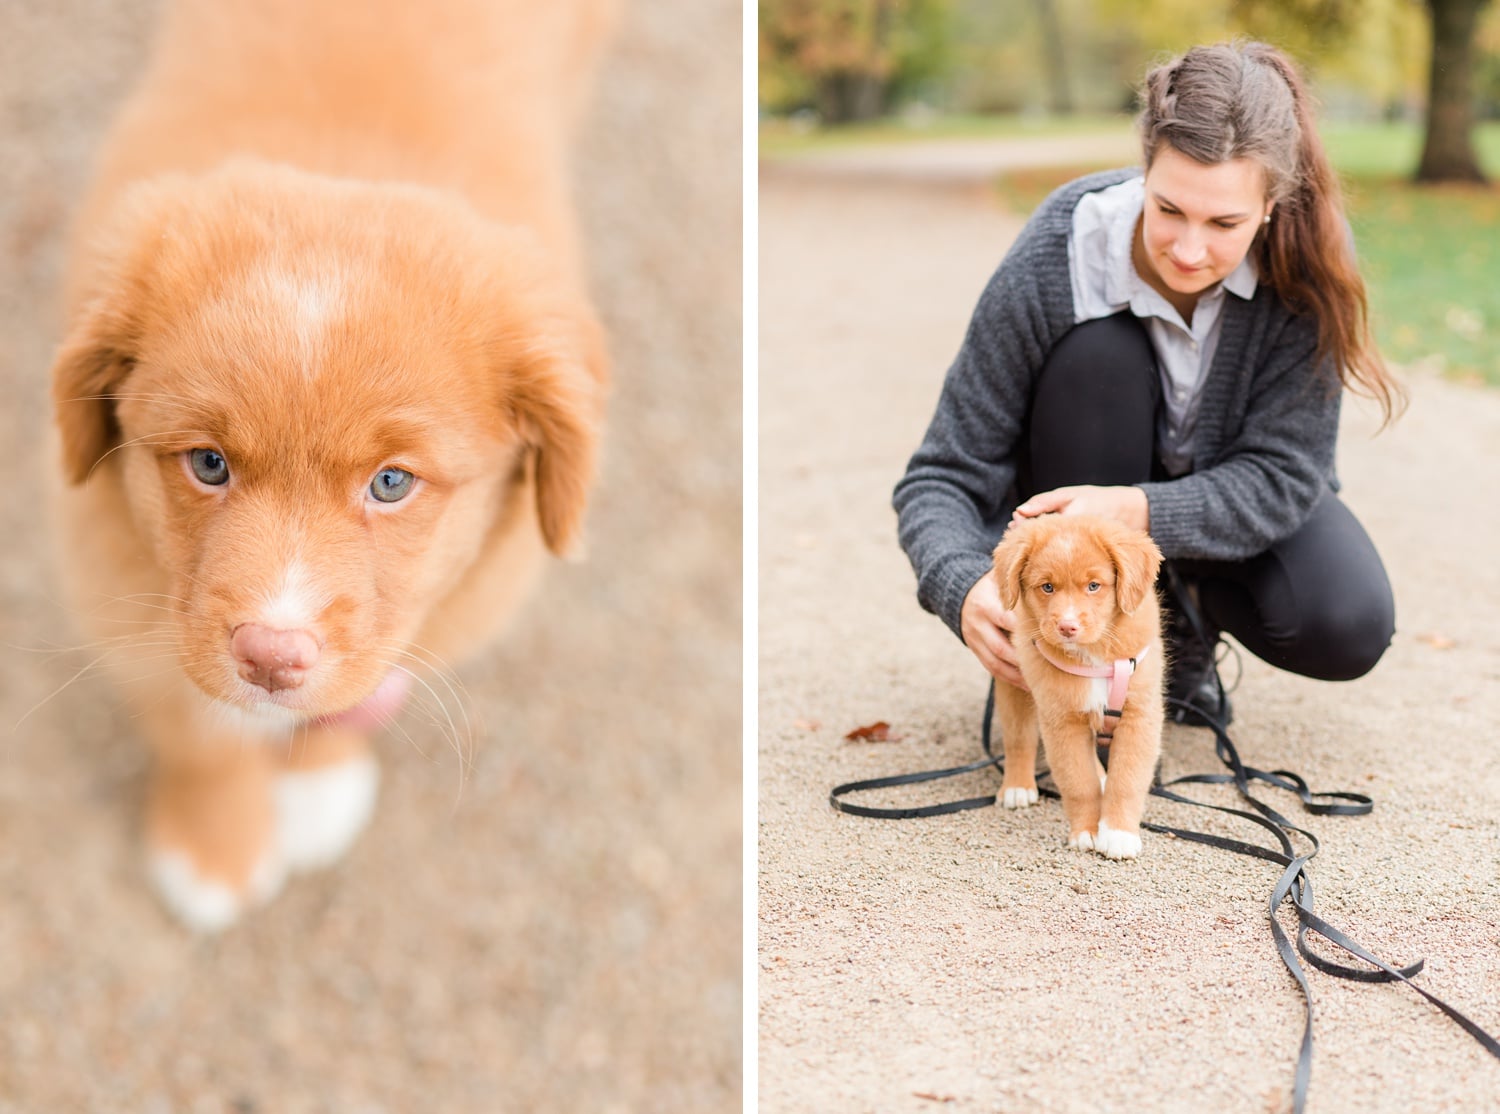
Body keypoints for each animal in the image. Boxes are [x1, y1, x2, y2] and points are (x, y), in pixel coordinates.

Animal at [48, 0, 615, 929]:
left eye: (391, 483)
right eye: (207, 464)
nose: (271, 657)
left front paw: (313, 788)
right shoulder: (115, 580)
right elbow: (198, 729)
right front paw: (216, 847)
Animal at [990, 512, 1164, 863]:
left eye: (1094, 585)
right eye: (1047, 587)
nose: (1067, 627)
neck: (1094, 655)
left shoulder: (1140, 715)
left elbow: (1127, 779)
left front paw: (1119, 834)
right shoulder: (1062, 719)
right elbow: (1078, 780)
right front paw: (1086, 831)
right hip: (1013, 680)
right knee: (1018, 738)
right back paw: (1017, 787)